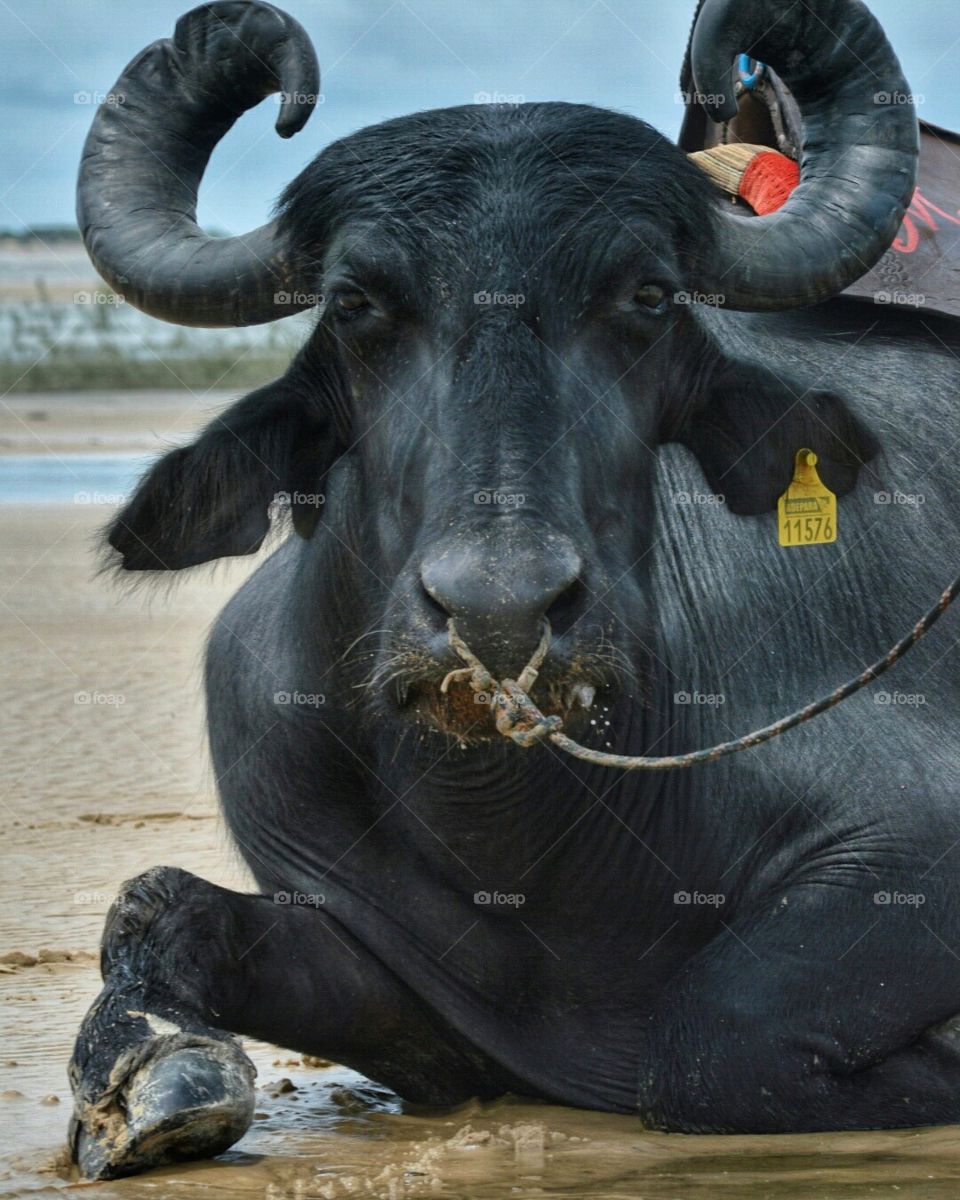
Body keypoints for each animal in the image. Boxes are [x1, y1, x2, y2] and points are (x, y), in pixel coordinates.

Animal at [68, 0, 960, 1180]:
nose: (500, 617)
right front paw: (161, 1077)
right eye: (353, 302)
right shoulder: (409, 997)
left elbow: (711, 1035)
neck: (524, 840)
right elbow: (157, 910)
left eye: (648, 294)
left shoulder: (912, 850)